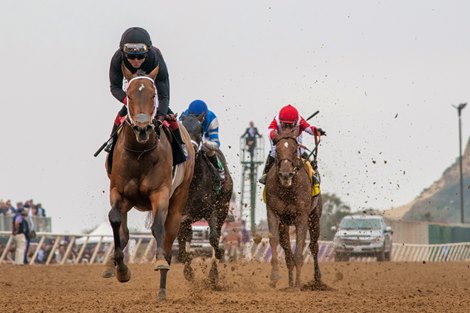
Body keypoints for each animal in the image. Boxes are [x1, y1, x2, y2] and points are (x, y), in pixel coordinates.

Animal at [104, 64, 195, 302]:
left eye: (153, 95)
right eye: (129, 95)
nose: (143, 128)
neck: (139, 153)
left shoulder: (159, 193)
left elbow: (158, 228)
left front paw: (160, 261)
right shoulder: (118, 192)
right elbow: (115, 220)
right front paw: (121, 269)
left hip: (178, 200)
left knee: (168, 237)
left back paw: (162, 289)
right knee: (124, 232)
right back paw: (110, 266)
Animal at [178, 112, 233, 286]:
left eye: (200, 129)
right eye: (182, 129)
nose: (191, 149)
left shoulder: (211, 211)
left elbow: (214, 239)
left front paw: (214, 272)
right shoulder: (181, 215)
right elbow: (182, 242)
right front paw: (188, 270)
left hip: (223, 209)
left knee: (217, 235)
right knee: (187, 238)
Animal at [264, 125, 324, 288]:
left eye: (294, 149)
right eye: (277, 149)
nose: (286, 174)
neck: (288, 189)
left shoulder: (302, 216)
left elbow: (299, 248)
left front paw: (298, 284)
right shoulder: (273, 213)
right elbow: (274, 240)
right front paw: (275, 275)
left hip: (314, 218)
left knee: (314, 246)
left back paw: (317, 280)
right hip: (284, 224)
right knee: (287, 252)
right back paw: (290, 283)